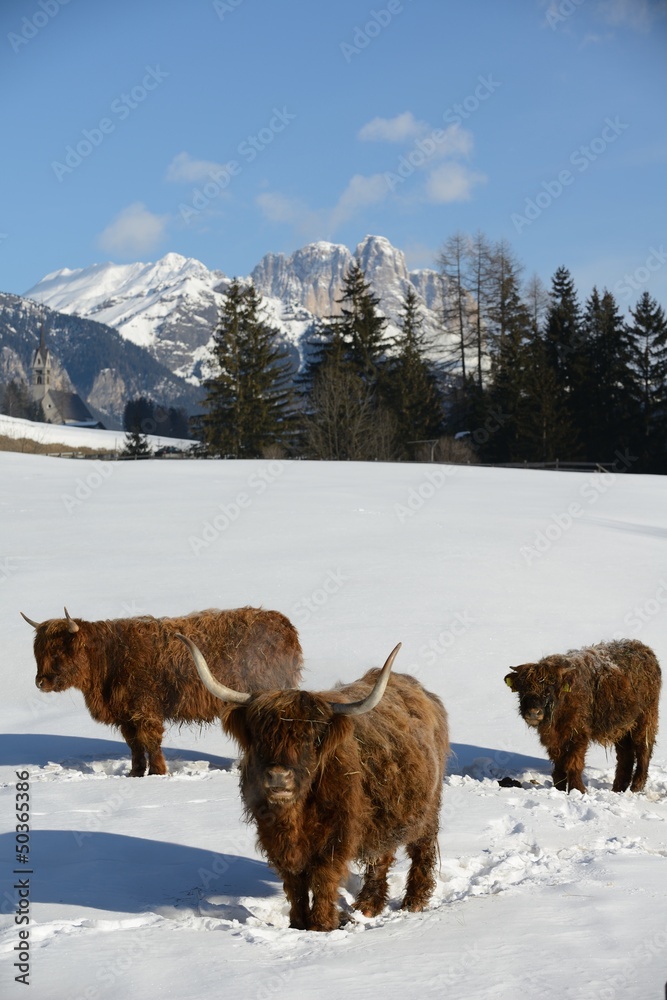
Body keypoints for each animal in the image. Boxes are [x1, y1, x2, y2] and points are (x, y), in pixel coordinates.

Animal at [21, 606, 302, 777]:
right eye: (39, 652)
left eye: (58, 651)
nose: (40, 682)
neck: (110, 658)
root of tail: (284, 624)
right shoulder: (126, 715)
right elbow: (134, 745)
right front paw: (135, 773)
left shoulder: (145, 709)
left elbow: (151, 741)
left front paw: (157, 772)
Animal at [177, 634, 449, 932]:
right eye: (260, 737)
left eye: (310, 739)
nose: (278, 776)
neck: (296, 814)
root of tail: (421, 691)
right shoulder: (276, 838)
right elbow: (294, 883)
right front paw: (297, 923)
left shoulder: (336, 837)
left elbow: (323, 879)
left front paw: (321, 925)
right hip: (384, 812)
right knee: (381, 855)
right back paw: (368, 905)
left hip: (427, 807)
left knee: (421, 848)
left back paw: (414, 902)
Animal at [504, 639, 661, 794]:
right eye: (523, 690)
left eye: (548, 690)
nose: (533, 712)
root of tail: (644, 649)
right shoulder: (554, 739)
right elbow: (559, 766)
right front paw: (560, 789)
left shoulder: (578, 735)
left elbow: (573, 763)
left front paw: (577, 789)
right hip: (622, 727)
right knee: (625, 756)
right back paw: (618, 789)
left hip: (646, 719)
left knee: (644, 749)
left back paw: (636, 787)